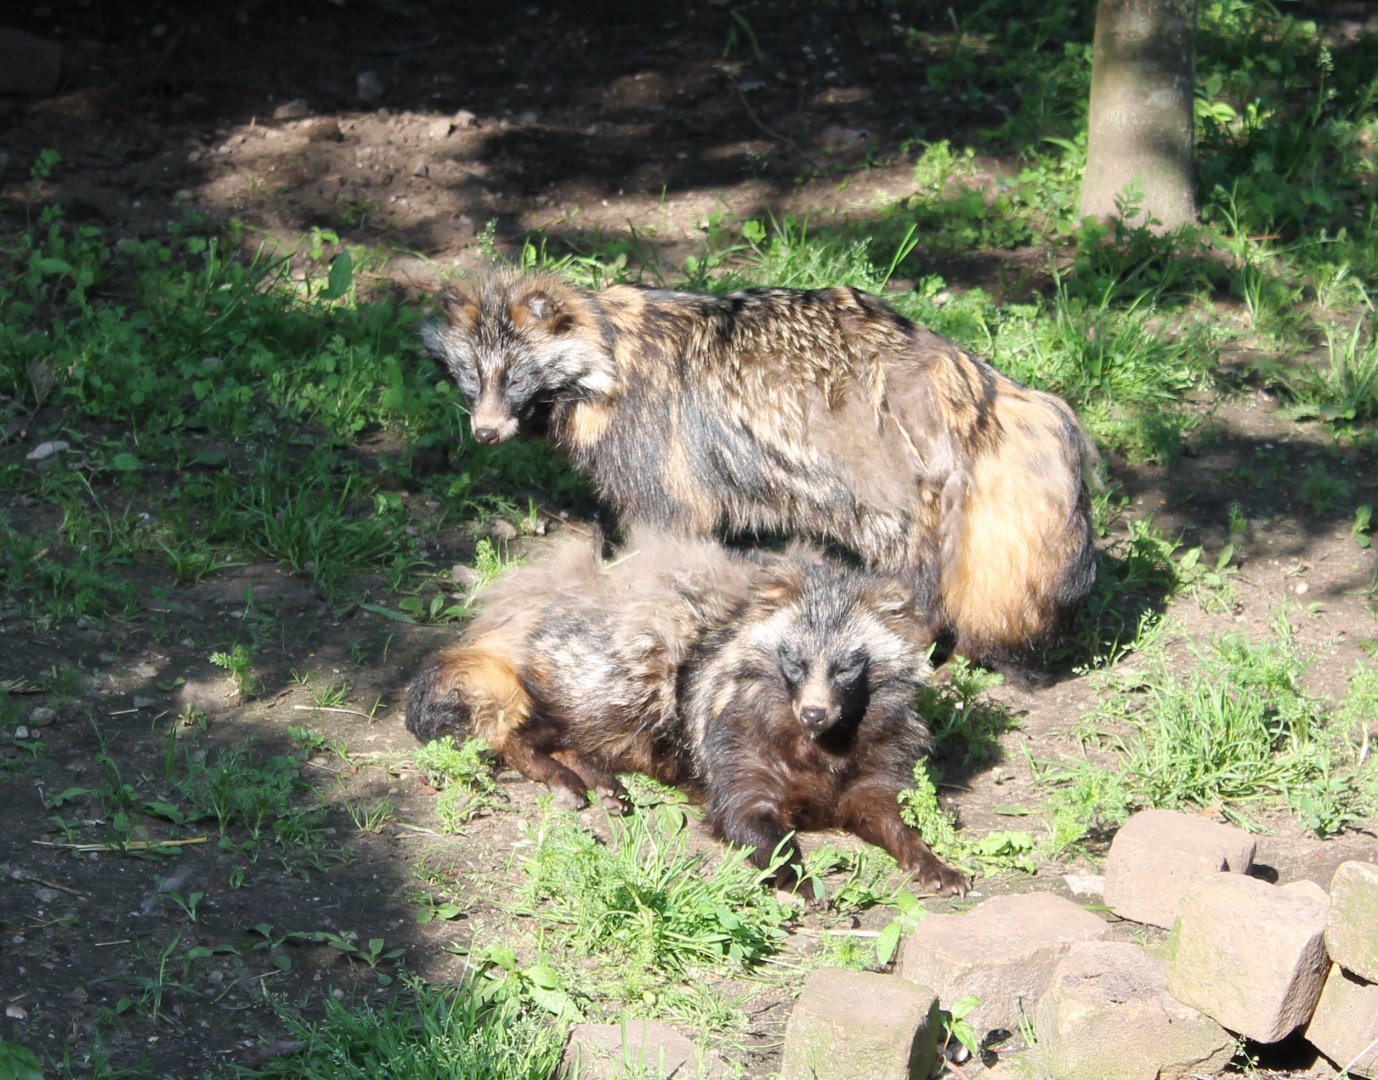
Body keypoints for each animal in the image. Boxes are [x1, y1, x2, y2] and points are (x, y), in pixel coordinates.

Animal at [404, 529, 968, 896]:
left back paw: (598, 778)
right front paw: (795, 874)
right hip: (616, 673)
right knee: (515, 728)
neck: (821, 749)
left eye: (849, 667)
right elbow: (750, 821)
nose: (813, 714)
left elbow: (891, 815)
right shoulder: (736, 751)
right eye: (794, 661)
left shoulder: (875, 765)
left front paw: (930, 859)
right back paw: (560, 772)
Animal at [421, 268, 1097, 676]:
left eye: (516, 376)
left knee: (910, 561)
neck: (610, 347)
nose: (485, 433)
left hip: (895, 479)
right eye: (471, 374)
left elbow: (665, 531)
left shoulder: (656, 446)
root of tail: (972, 376)